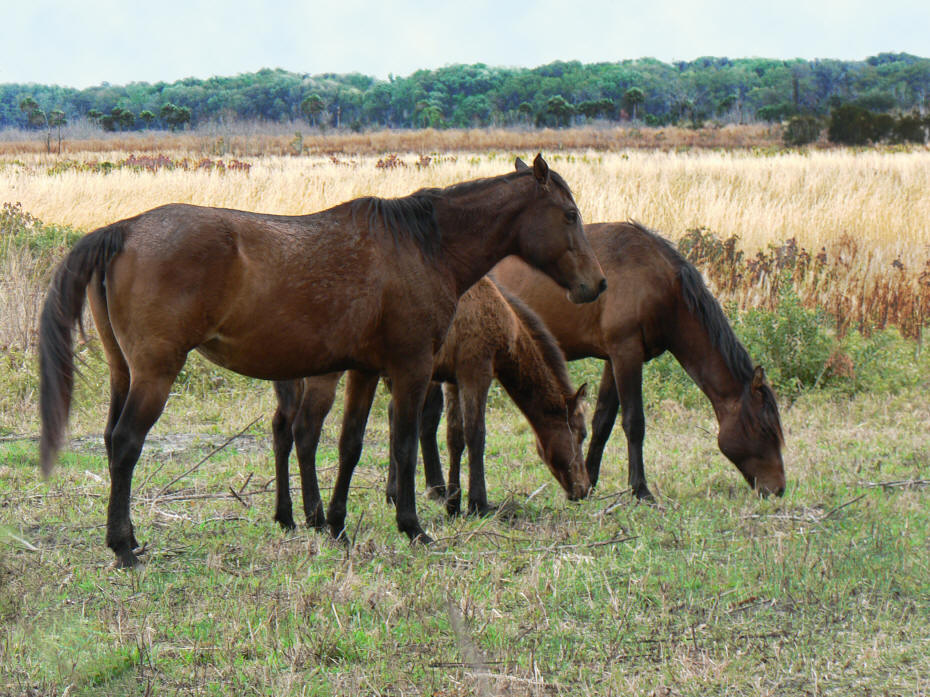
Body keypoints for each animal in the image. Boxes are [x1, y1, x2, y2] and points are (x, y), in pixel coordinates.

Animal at [272, 276, 590, 530]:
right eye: (583, 434)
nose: (584, 489)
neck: (502, 316)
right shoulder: (476, 370)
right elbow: (476, 436)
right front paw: (477, 504)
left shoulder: (451, 379)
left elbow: (454, 437)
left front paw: (453, 503)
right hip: (324, 375)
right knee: (306, 431)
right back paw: (315, 517)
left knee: (281, 430)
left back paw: (286, 517)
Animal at [493, 221, 786, 500]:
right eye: (765, 429)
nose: (779, 489)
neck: (659, 282)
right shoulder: (627, 353)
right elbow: (634, 422)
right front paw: (640, 489)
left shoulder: (613, 358)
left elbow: (602, 422)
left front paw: (591, 482)